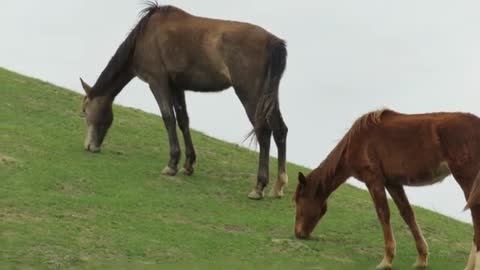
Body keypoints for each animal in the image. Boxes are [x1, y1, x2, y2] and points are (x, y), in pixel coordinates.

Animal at [80, 2, 286, 200]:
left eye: (84, 112)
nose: (90, 146)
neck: (144, 37)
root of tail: (273, 42)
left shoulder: (157, 81)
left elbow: (168, 118)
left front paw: (172, 164)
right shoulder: (176, 86)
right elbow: (183, 120)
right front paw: (188, 164)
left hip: (250, 95)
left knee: (264, 132)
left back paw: (259, 187)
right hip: (268, 98)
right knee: (280, 130)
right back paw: (278, 186)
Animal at [292, 109, 480, 270]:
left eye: (298, 201)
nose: (298, 233)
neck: (356, 142)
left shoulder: (374, 180)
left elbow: (383, 214)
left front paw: (386, 260)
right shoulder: (393, 183)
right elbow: (407, 214)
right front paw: (421, 258)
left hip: (467, 181)